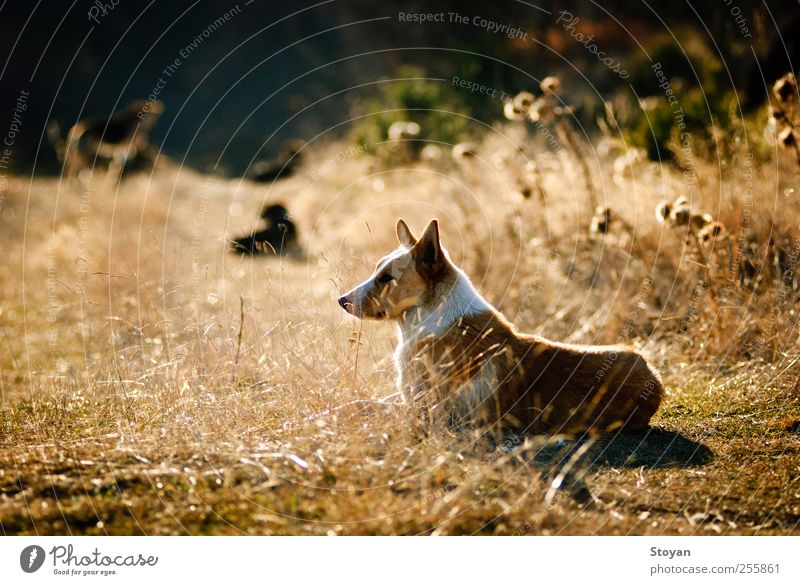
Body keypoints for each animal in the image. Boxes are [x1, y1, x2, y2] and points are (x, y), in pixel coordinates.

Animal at [338, 219, 664, 434]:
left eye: (386, 278)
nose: (342, 300)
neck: (432, 316)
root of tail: (653, 376)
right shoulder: (409, 398)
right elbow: (361, 402)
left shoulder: (428, 411)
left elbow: (377, 408)